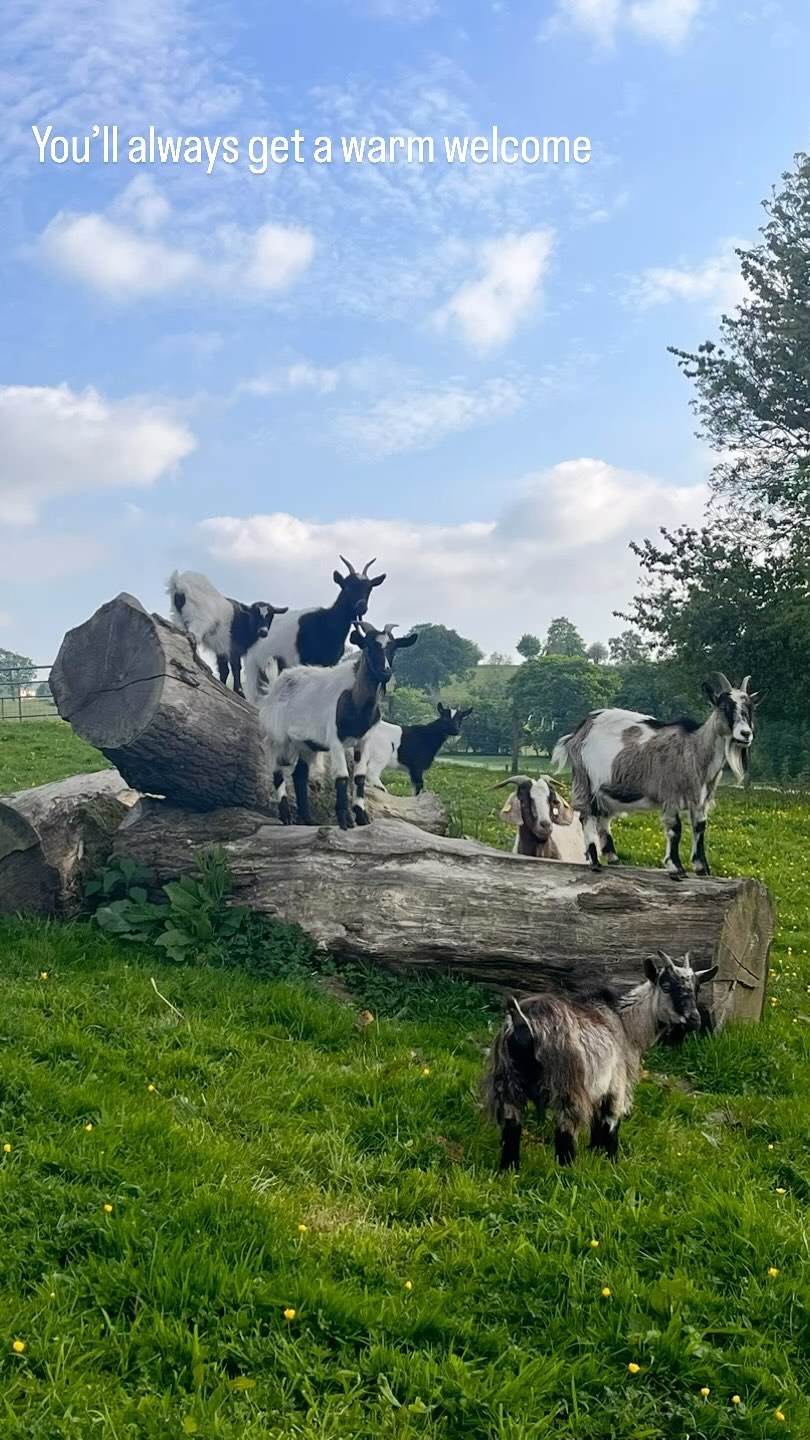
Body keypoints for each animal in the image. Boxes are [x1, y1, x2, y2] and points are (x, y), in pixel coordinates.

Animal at [243, 556, 386, 703]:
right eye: (347, 586)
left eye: (369, 589)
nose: (361, 606)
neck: (326, 624)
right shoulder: (302, 660)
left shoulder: (330, 663)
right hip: (252, 664)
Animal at [258, 621, 418, 830]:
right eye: (367, 647)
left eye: (394, 648)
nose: (385, 672)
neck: (355, 702)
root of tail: (274, 686)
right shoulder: (335, 741)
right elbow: (342, 777)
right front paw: (345, 820)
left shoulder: (364, 741)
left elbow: (359, 777)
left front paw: (362, 817)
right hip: (278, 736)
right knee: (277, 771)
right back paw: (286, 817)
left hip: (307, 744)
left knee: (300, 775)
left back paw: (308, 819)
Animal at [483, 951, 718, 1170]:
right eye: (666, 986)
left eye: (697, 989)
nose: (694, 1019)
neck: (626, 1025)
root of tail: (523, 1022)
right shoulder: (617, 1085)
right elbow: (611, 1125)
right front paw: (612, 1161)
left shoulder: (598, 1088)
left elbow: (597, 1125)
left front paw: (595, 1153)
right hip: (566, 1085)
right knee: (565, 1131)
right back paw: (567, 1170)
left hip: (508, 1082)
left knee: (512, 1128)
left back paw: (509, 1170)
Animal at [551, 673, 763, 879]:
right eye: (723, 706)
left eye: (750, 708)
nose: (745, 734)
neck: (694, 749)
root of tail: (578, 732)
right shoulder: (671, 794)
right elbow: (675, 828)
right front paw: (676, 868)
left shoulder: (701, 799)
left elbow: (699, 827)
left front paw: (702, 868)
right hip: (585, 780)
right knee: (587, 816)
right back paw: (595, 862)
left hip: (606, 789)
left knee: (603, 819)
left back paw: (613, 858)